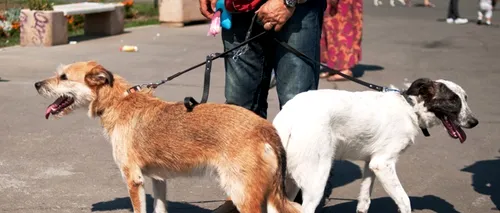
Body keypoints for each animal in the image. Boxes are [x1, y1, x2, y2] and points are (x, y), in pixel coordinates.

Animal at [36, 61, 300, 213]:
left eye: (63, 77)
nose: (37, 84)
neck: (119, 102)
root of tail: (265, 128)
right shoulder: (158, 179)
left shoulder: (133, 179)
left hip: (243, 194)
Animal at [274, 78, 480, 213]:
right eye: (453, 100)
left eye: (466, 98)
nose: (474, 122)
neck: (410, 109)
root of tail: (289, 115)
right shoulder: (382, 163)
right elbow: (405, 201)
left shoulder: (370, 163)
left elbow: (364, 202)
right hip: (316, 180)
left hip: (290, 182)